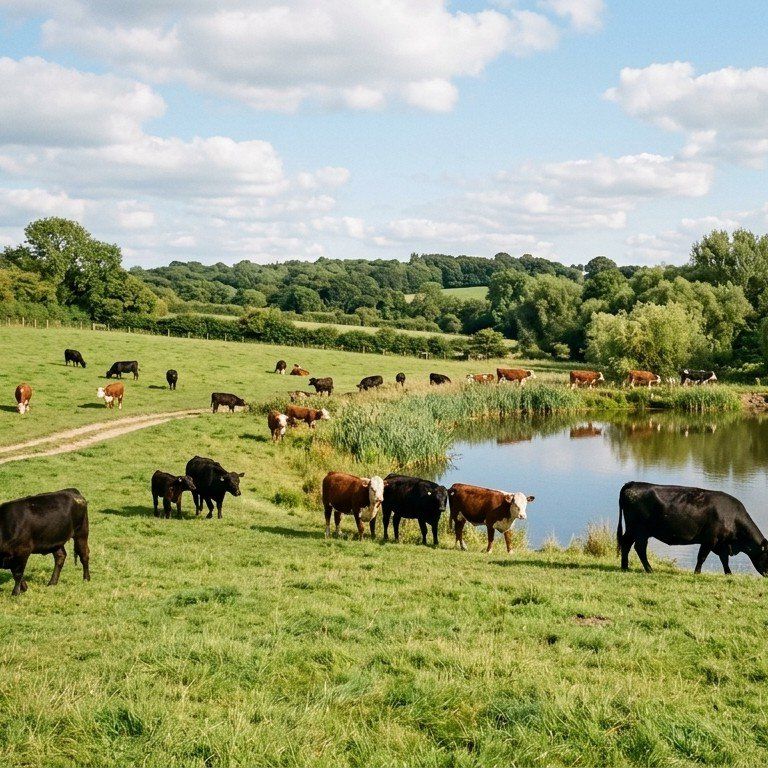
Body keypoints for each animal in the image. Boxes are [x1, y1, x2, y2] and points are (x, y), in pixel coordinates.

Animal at [618, 481, 768, 576]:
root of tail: (633, 483)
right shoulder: (710, 540)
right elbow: (702, 557)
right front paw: (697, 573)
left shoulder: (722, 543)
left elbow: (724, 559)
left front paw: (729, 574)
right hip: (640, 530)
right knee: (639, 548)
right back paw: (649, 569)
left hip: (633, 530)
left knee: (626, 543)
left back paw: (625, 567)